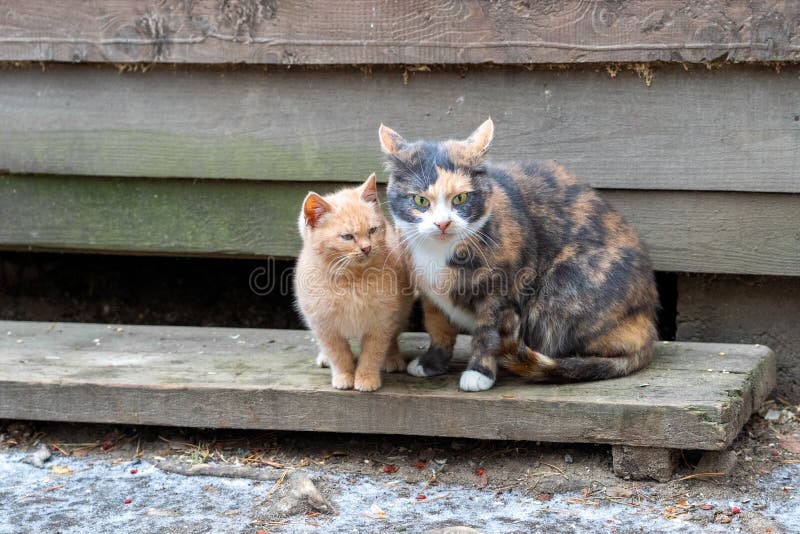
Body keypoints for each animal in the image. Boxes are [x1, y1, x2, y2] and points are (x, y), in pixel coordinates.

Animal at [292, 174, 412, 392]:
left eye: (373, 230)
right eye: (347, 236)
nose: (366, 248)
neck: (352, 281)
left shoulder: (381, 321)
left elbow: (373, 353)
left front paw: (366, 378)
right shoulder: (324, 325)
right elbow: (338, 353)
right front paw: (344, 375)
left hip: (401, 310)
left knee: (392, 337)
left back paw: (392, 358)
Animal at [380, 118, 656, 394]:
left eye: (460, 198)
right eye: (420, 200)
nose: (442, 223)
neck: (439, 252)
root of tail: (647, 323)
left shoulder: (500, 293)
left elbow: (487, 334)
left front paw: (479, 372)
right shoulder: (431, 298)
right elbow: (439, 330)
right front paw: (431, 363)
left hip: (563, 280)